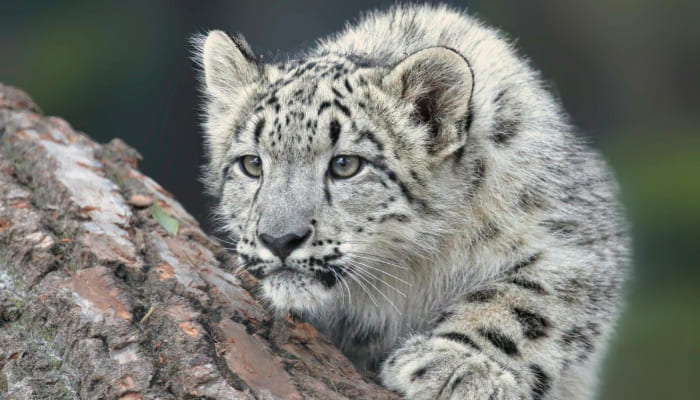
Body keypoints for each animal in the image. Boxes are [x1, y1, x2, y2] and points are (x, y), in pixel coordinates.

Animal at [193, 3, 629, 399]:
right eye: (252, 164)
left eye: (345, 164)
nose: (279, 240)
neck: (412, 268)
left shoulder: (574, 239)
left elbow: (526, 301)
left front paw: (457, 366)